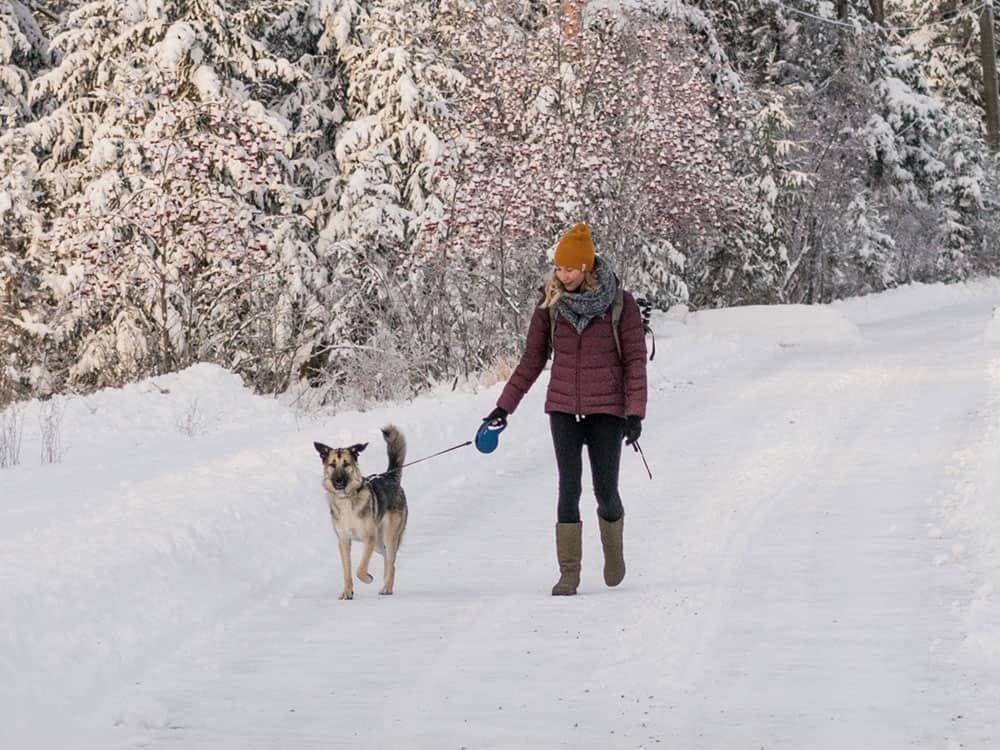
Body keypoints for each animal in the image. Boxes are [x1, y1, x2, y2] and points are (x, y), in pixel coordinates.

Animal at [312, 426, 406, 604]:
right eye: (332, 465)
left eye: (346, 464)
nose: (339, 481)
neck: (346, 499)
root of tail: (389, 477)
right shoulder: (344, 542)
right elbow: (347, 571)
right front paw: (348, 592)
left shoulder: (368, 539)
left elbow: (360, 569)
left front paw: (368, 578)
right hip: (379, 544)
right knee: (389, 561)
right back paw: (385, 584)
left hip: (388, 537)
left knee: (392, 562)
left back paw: (387, 587)